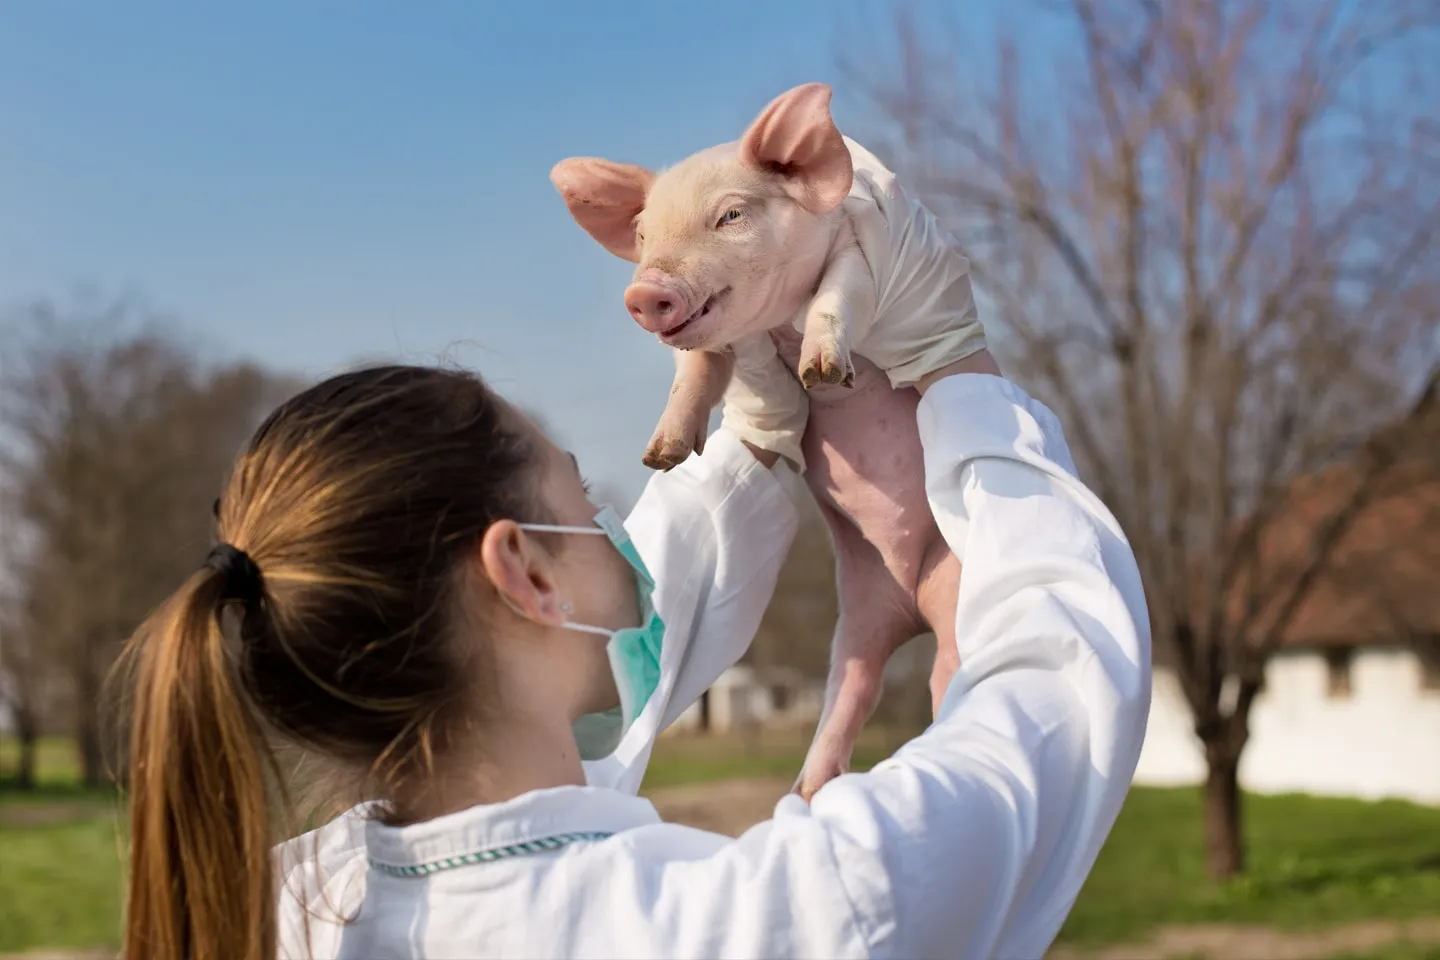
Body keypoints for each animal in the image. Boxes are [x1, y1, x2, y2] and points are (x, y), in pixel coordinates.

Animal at [550, 82, 988, 801]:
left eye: (731, 214)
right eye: (642, 234)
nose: (645, 291)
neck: (774, 320)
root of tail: (911, 606)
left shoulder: (857, 254)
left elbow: (835, 299)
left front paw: (822, 372)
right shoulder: (717, 349)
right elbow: (695, 375)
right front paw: (662, 455)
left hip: (957, 587)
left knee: (949, 675)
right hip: (856, 619)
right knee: (851, 687)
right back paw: (808, 792)